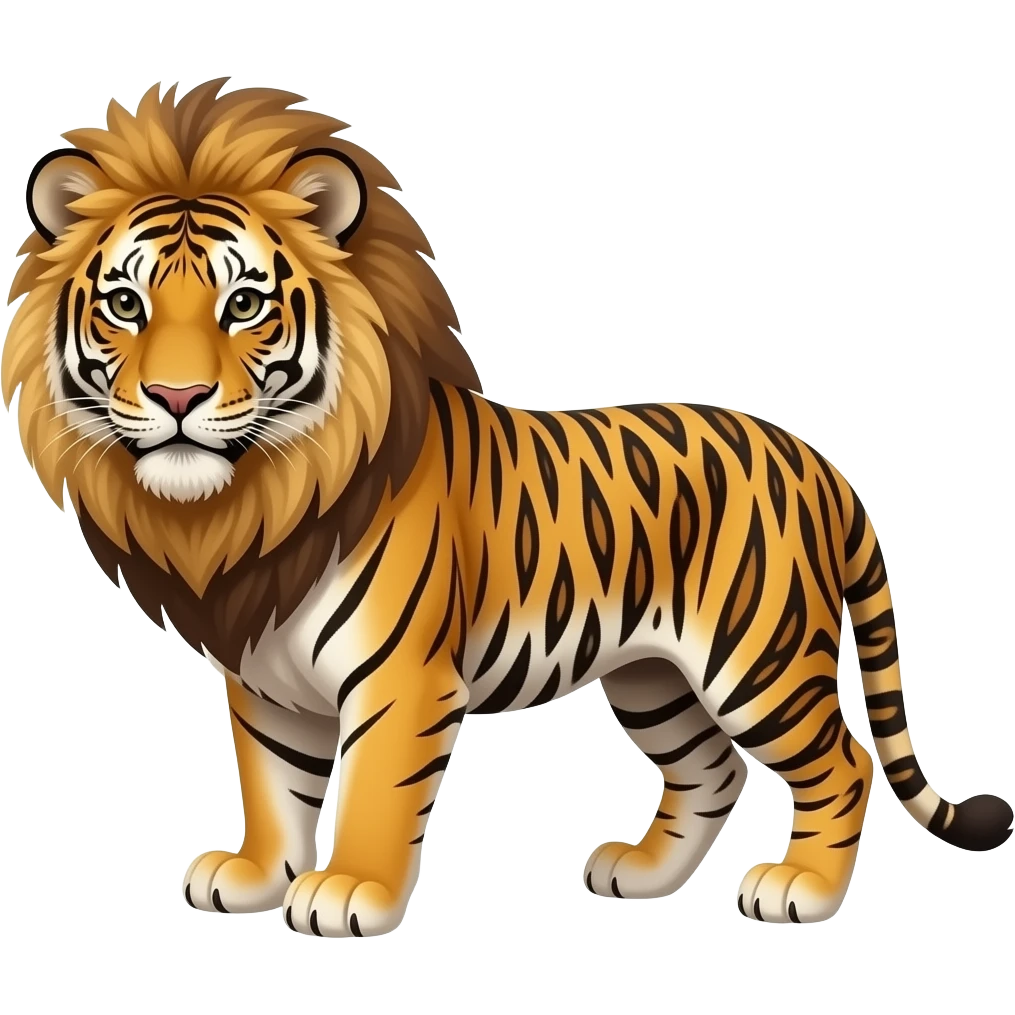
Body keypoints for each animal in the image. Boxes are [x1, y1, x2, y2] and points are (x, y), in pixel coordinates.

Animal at [3, 79, 1011, 939]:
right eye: (124, 304)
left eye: (245, 304)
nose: (176, 396)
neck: (250, 501)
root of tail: (818, 461)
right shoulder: (264, 678)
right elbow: (273, 786)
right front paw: (253, 875)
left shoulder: (399, 676)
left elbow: (371, 790)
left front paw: (350, 891)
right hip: (653, 675)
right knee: (709, 768)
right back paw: (640, 874)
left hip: (756, 657)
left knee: (842, 763)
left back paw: (798, 888)